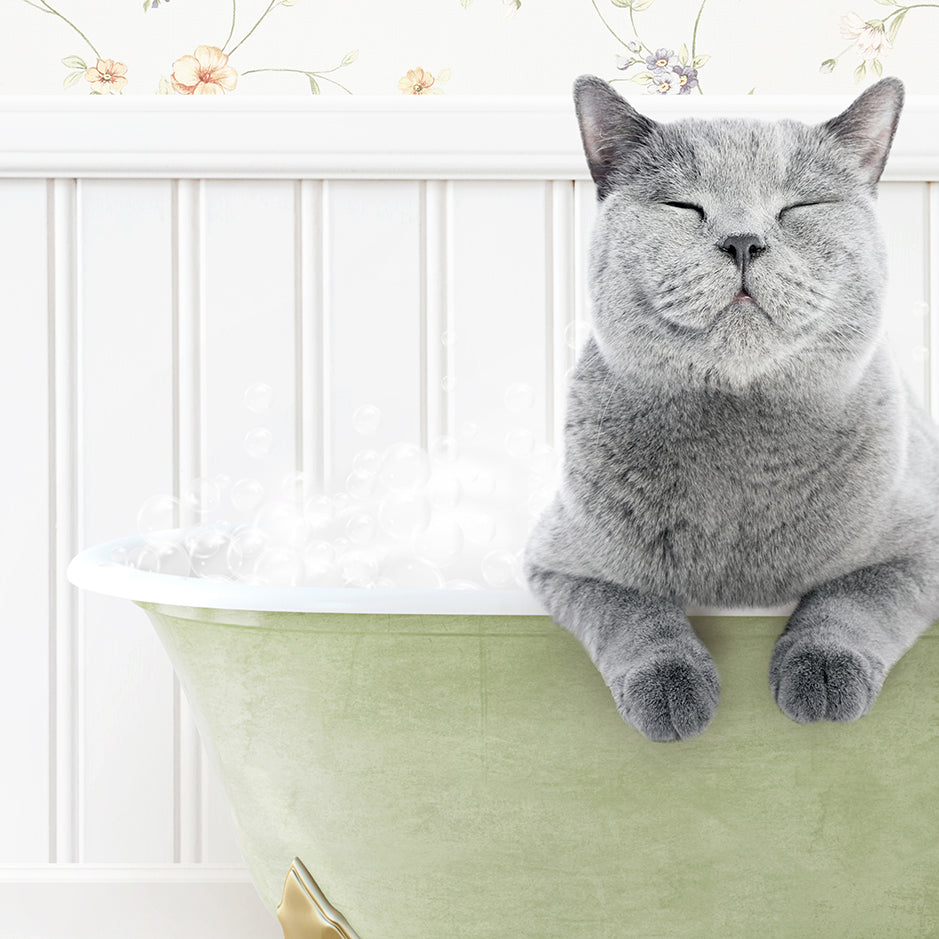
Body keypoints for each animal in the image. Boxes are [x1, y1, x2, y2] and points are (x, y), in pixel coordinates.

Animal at [524, 75, 939, 740]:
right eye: (683, 207)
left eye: (798, 208)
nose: (743, 241)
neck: (742, 450)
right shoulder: (564, 563)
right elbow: (633, 610)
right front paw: (672, 690)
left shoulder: (921, 545)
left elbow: (854, 598)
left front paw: (822, 675)